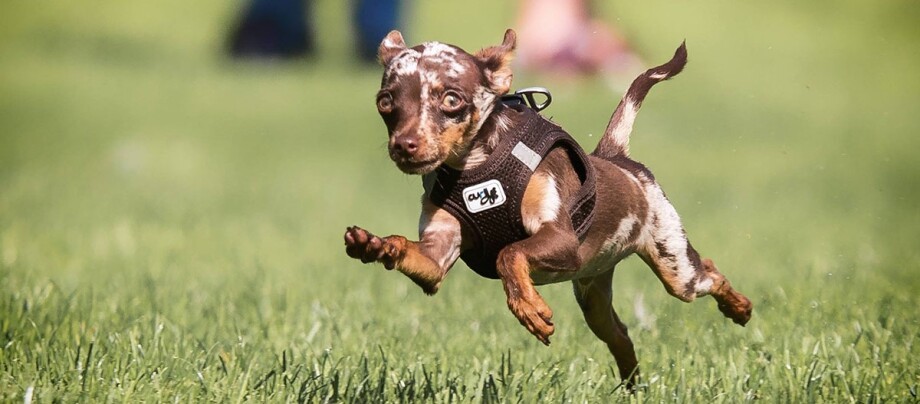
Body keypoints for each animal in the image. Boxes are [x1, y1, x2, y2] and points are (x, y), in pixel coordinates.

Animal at [342, 29, 752, 388]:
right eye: (385, 102)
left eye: (452, 99)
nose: (403, 145)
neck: (474, 169)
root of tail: (617, 157)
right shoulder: (436, 257)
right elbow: (412, 250)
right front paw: (376, 245)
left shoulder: (562, 240)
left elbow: (508, 254)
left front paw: (528, 307)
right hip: (593, 296)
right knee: (621, 336)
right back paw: (633, 384)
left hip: (676, 269)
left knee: (709, 272)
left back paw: (739, 307)